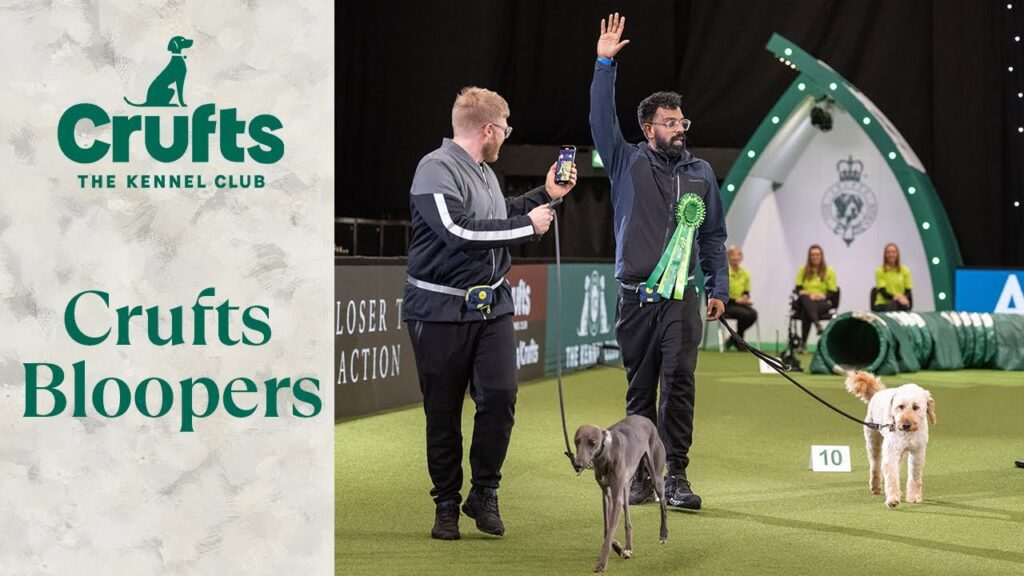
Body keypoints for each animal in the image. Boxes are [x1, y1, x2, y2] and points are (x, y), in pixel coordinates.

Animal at [843, 366, 933, 506]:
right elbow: (891, 476)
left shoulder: (917, 452)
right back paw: (875, 485)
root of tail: (878, 393)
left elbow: (915, 475)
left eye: (916, 407)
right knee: (875, 464)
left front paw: (914, 496)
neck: (907, 435)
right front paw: (892, 499)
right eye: (900, 406)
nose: (906, 424)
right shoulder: (891, 452)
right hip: (873, 440)